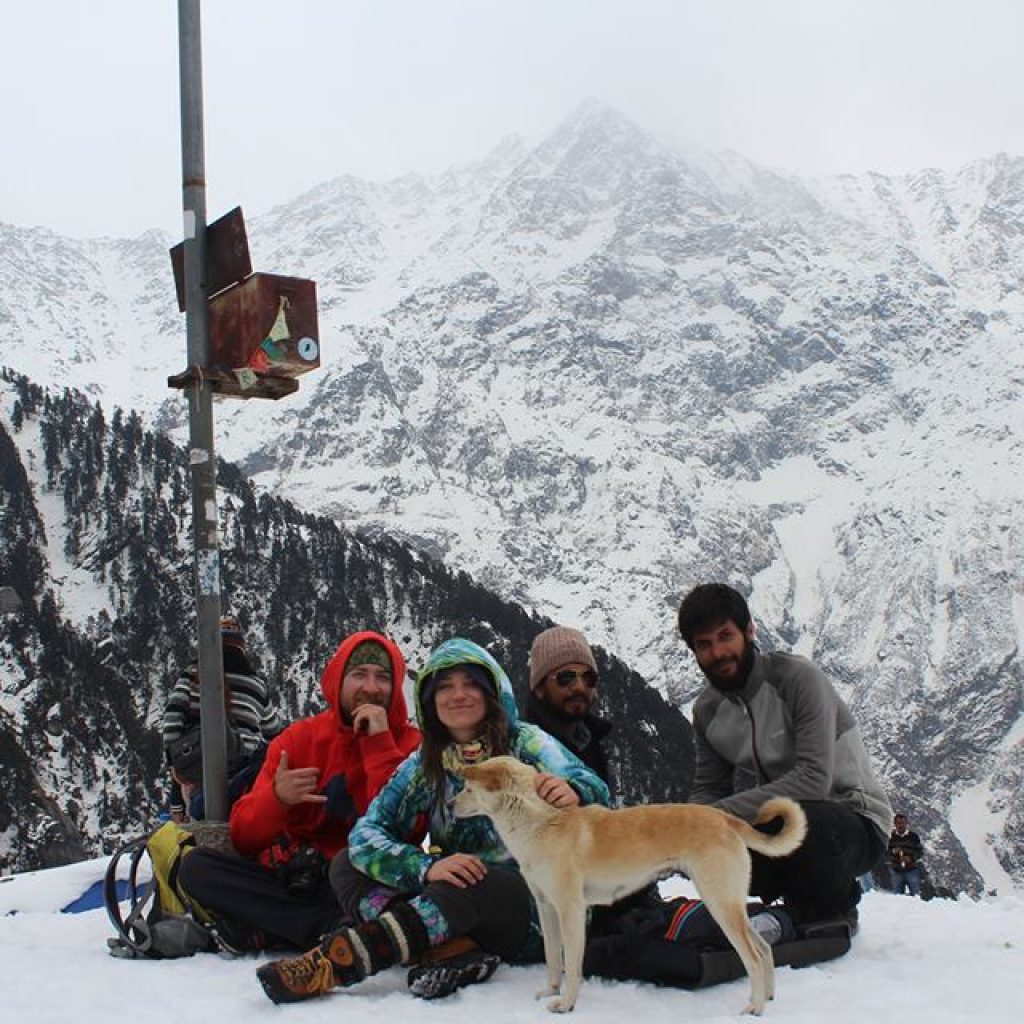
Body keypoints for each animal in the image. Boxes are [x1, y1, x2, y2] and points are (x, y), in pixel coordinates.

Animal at [456, 757, 806, 1011]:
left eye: (467, 788)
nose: (450, 805)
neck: (540, 824)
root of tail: (726, 819)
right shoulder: (546, 908)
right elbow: (553, 958)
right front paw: (550, 991)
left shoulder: (571, 910)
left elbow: (572, 964)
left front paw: (566, 1004)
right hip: (732, 907)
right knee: (765, 948)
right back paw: (767, 997)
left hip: (721, 904)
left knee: (754, 957)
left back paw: (755, 1008)